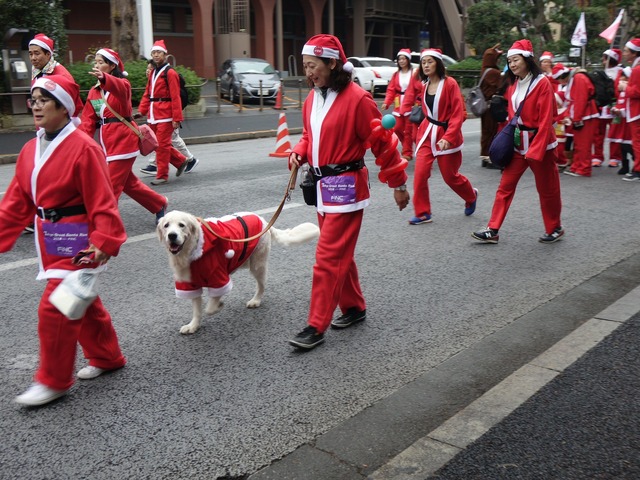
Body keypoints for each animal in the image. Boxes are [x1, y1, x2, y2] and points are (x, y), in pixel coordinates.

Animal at [158, 210, 320, 334]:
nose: (172, 235)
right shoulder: (190, 285)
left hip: (257, 265)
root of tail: (262, 220)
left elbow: (210, 307)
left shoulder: (220, 279)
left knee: (261, 285)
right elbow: (197, 310)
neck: (192, 253)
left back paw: (256, 300)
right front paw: (193, 326)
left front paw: (218, 305)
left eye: (181, 225)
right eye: (166, 226)